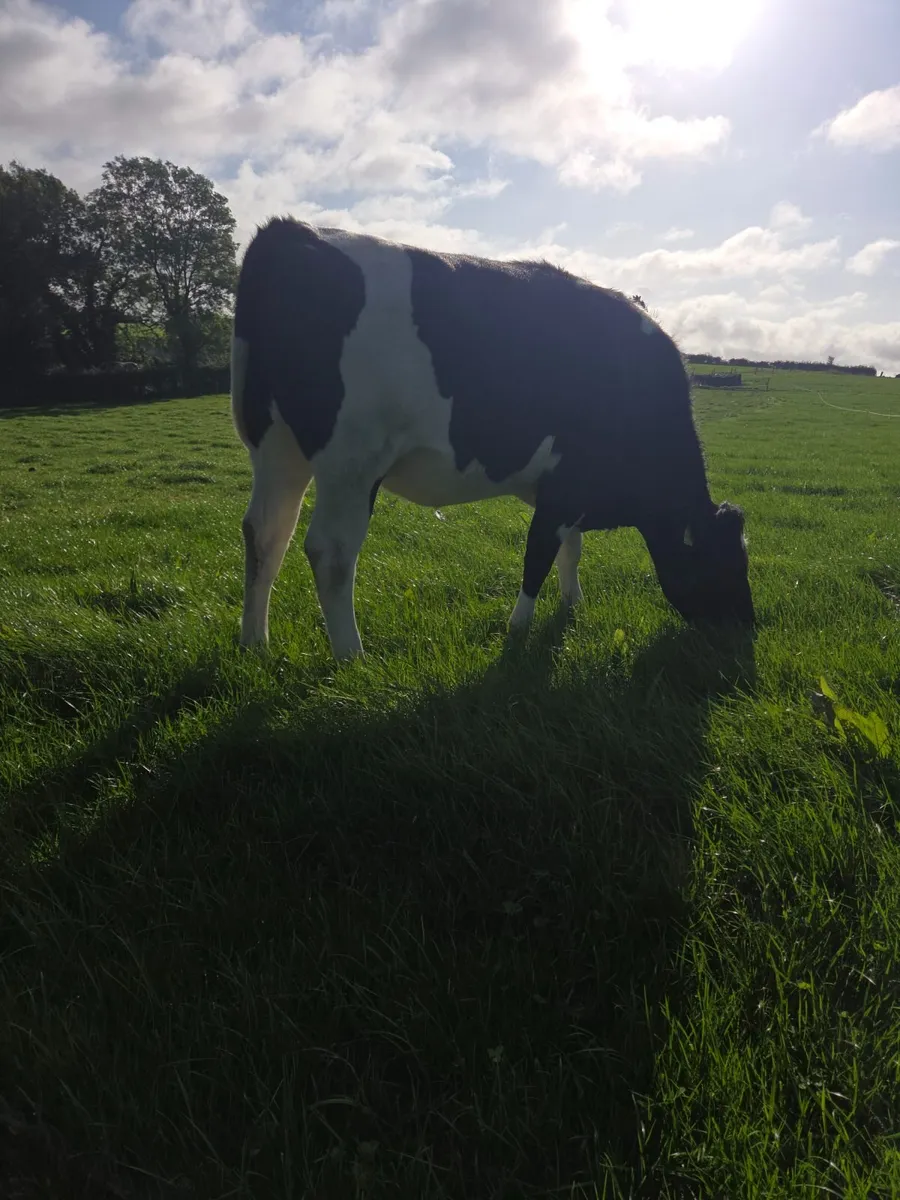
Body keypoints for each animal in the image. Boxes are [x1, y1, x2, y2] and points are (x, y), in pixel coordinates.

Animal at [231, 218, 754, 660]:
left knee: (265, 534)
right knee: (331, 551)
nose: (746, 629)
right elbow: (538, 555)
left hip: (274, 447)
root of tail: (291, 232)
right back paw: (351, 656)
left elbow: (570, 551)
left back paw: (256, 643)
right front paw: (519, 627)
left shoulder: (568, 491)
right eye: (727, 564)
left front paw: (572, 604)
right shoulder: (565, 485)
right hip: (351, 462)